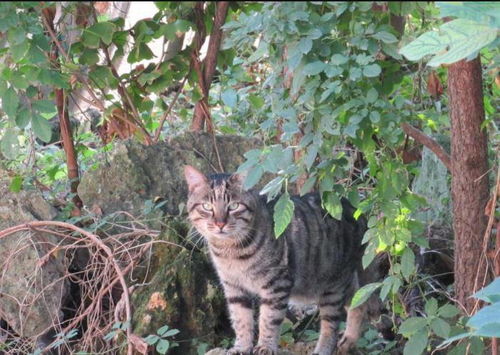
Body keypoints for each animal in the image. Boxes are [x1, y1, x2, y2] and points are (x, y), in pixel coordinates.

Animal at [184, 167, 368, 355]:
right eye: (207, 206)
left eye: (233, 206)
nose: (220, 224)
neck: (230, 252)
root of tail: (355, 205)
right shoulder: (233, 287)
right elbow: (241, 319)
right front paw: (241, 347)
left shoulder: (276, 284)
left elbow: (268, 319)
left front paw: (265, 346)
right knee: (359, 303)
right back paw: (349, 340)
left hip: (332, 286)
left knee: (331, 324)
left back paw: (323, 348)